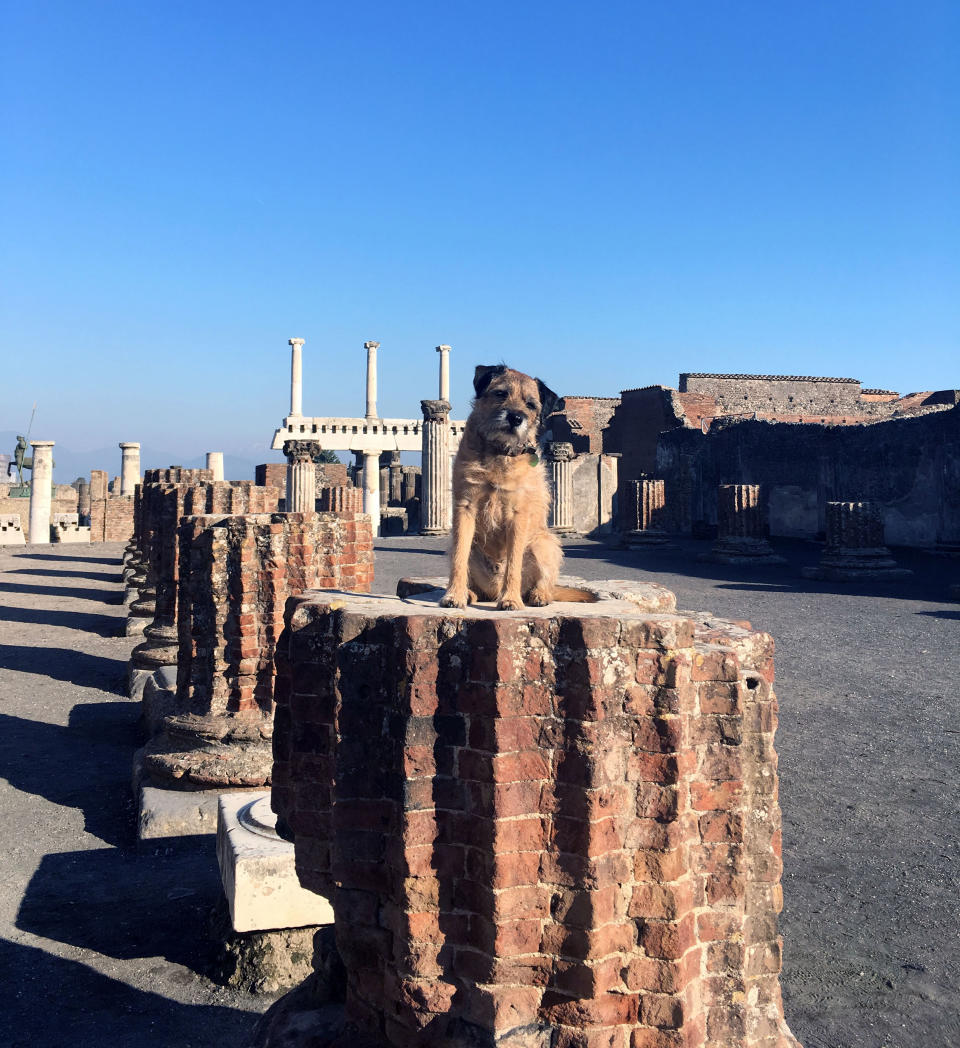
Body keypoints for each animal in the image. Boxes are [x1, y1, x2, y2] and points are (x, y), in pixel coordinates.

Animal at [442, 366, 591, 612]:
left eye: (531, 404)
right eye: (501, 393)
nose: (515, 417)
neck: (499, 452)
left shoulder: (517, 515)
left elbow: (513, 563)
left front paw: (510, 599)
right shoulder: (465, 508)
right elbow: (458, 559)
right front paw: (454, 595)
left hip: (544, 544)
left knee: (544, 582)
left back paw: (537, 595)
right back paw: (470, 593)